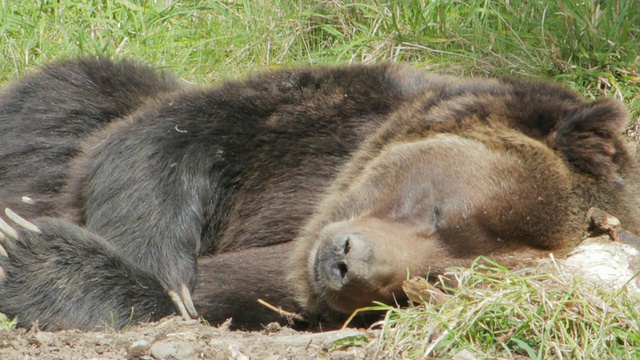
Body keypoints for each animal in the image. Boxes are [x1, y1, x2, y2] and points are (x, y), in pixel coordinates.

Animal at [0, 57, 636, 330]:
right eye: (438, 211)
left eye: (440, 281)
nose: (347, 263)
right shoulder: (322, 120)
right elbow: (163, 134)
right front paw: (158, 261)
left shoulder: (280, 286)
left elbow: (200, 298)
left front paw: (27, 252)